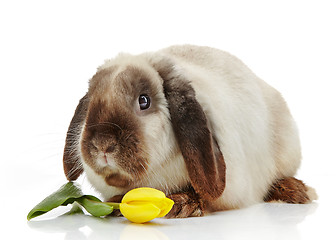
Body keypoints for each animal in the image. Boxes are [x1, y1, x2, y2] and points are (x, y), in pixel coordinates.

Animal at [61, 45, 316, 218]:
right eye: (91, 104)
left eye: (144, 101)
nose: (103, 144)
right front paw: (117, 204)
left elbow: (203, 195)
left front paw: (182, 204)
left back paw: (296, 192)